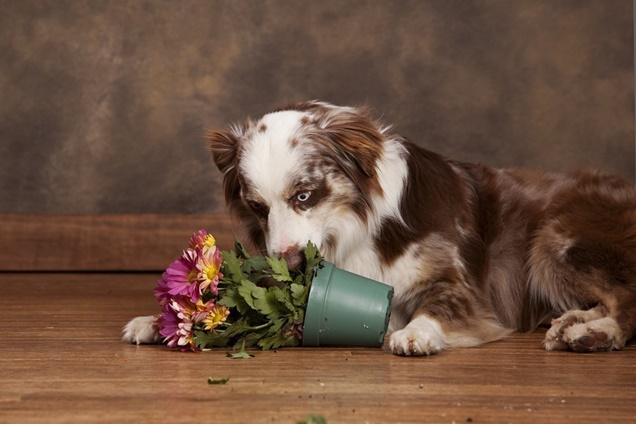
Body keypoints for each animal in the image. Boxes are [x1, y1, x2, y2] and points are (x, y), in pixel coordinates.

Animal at [124, 100, 636, 354]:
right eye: (257, 206)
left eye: (304, 196)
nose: (292, 262)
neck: (350, 232)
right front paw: (160, 320)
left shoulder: (462, 286)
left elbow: (439, 304)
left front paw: (418, 333)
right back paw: (573, 323)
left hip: (555, 240)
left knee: (628, 299)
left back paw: (597, 334)